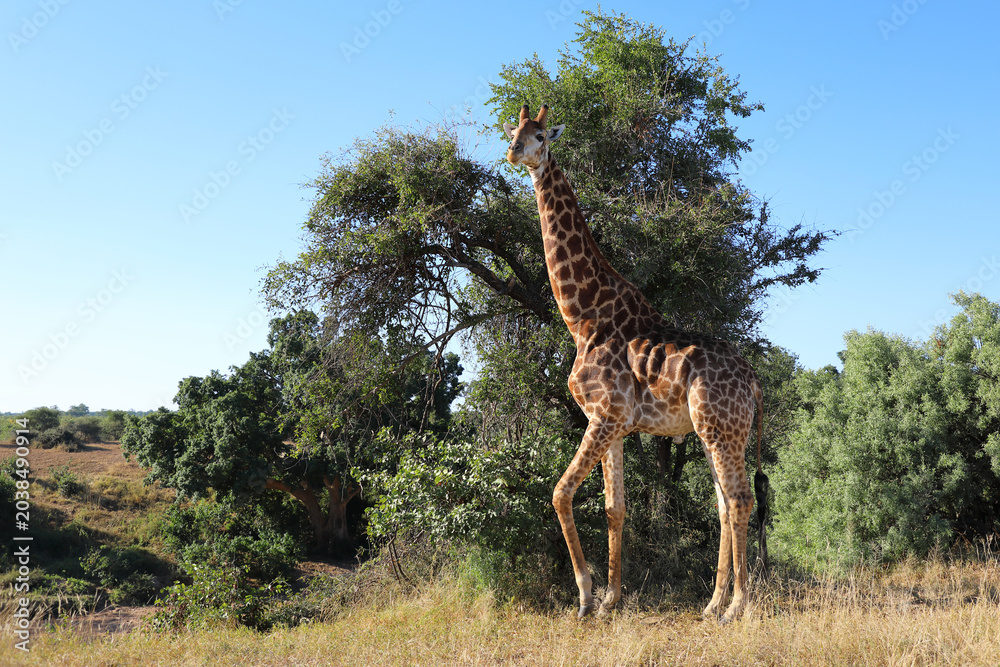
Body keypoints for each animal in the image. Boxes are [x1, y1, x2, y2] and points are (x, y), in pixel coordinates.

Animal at [503, 104, 768, 623]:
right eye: (514, 130)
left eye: (541, 136)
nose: (513, 153)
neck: (582, 317)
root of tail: (753, 382)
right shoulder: (614, 424)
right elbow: (615, 507)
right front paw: (611, 599)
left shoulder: (604, 416)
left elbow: (560, 493)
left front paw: (585, 598)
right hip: (717, 432)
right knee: (725, 505)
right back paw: (712, 603)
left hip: (719, 429)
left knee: (741, 500)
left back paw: (737, 607)